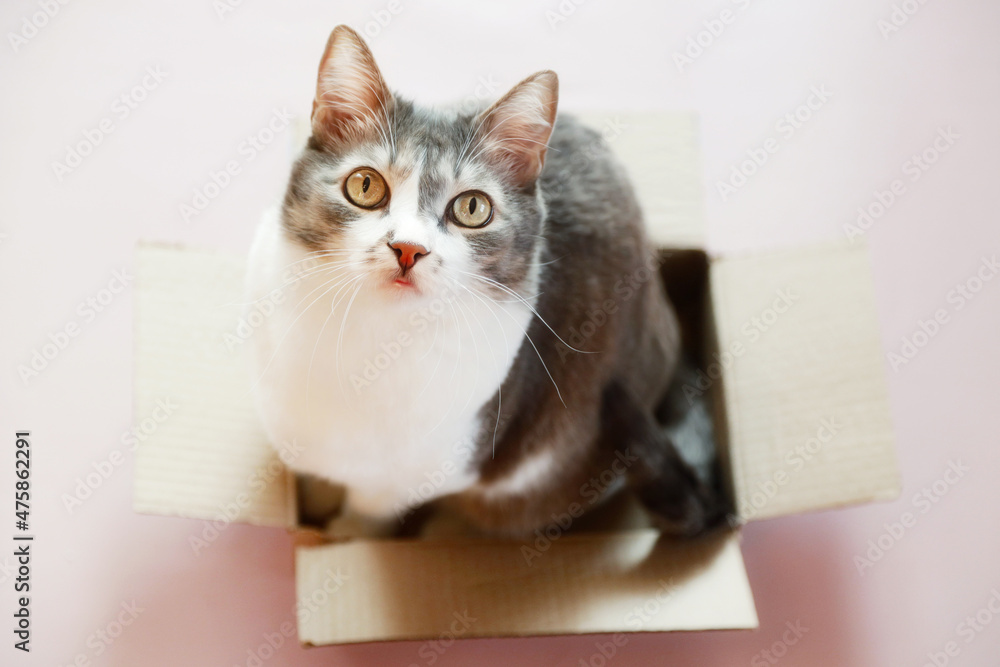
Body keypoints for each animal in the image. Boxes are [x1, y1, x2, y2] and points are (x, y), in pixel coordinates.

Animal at [245, 23, 724, 540]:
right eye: (365, 185)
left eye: (472, 208)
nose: (408, 248)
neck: (372, 340)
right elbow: (315, 476)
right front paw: (309, 515)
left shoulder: (418, 475)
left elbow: (368, 512)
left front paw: (339, 536)